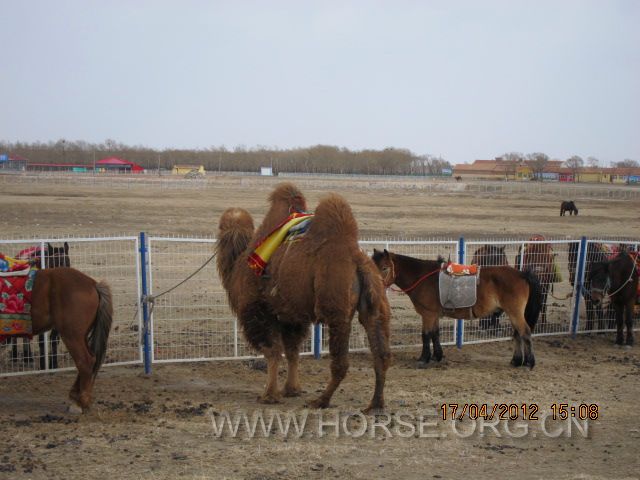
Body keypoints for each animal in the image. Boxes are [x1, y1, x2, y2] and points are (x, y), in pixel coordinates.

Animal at [10, 242, 70, 370]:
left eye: (67, 262)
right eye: (52, 263)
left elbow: (54, 340)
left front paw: (54, 364)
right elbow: (42, 341)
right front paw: (43, 364)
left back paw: (28, 357)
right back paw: (15, 356)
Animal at [30, 268, 114, 410]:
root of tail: (93, 284)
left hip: (71, 336)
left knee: (85, 361)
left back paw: (81, 401)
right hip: (81, 336)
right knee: (92, 359)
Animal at [218, 182, 392, 410]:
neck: (240, 261)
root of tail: (356, 258)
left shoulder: (258, 310)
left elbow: (272, 352)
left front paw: (269, 395)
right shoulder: (291, 314)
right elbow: (292, 351)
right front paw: (291, 389)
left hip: (336, 308)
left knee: (341, 362)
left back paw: (321, 400)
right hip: (374, 302)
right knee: (381, 352)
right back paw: (375, 403)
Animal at [372, 249, 544, 370]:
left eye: (384, 267)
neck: (423, 277)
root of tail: (522, 274)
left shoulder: (427, 314)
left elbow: (426, 335)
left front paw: (424, 359)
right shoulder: (434, 315)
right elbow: (435, 334)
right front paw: (437, 356)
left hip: (515, 313)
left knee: (525, 333)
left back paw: (529, 362)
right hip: (513, 313)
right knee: (518, 334)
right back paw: (516, 361)